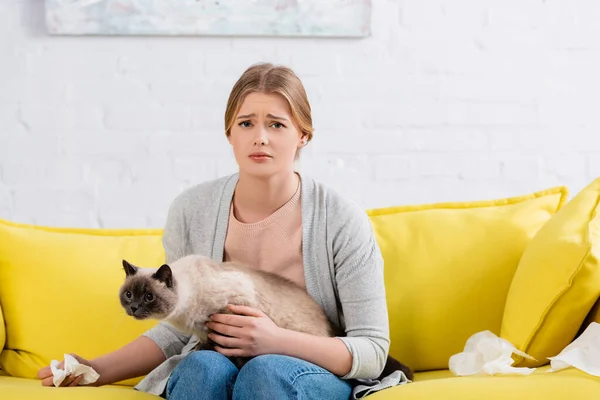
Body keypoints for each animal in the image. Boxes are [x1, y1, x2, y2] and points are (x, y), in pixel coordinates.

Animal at [119, 253, 414, 382]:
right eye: (129, 294)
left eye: (148, 297)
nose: (133, 308)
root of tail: (333, 329)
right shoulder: (204, 329)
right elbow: (207, 344)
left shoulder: (232, 311)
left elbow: (227, 350)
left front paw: (230, 360)